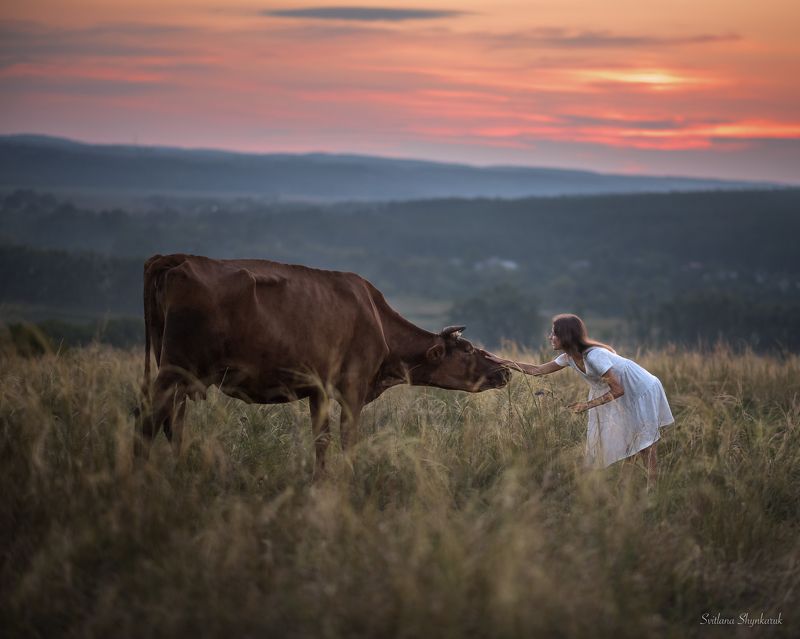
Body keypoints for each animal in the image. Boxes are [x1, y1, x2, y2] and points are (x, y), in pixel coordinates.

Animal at [137, 254, 510, 474]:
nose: (504, 370)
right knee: (149, 421)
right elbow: (347, 438)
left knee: (173, 423)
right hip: (175, 369)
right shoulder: (353, 386)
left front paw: (319, 483)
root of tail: (175, 259)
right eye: (468, 349)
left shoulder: (317, 388)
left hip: (178, 373)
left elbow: (321, 440)